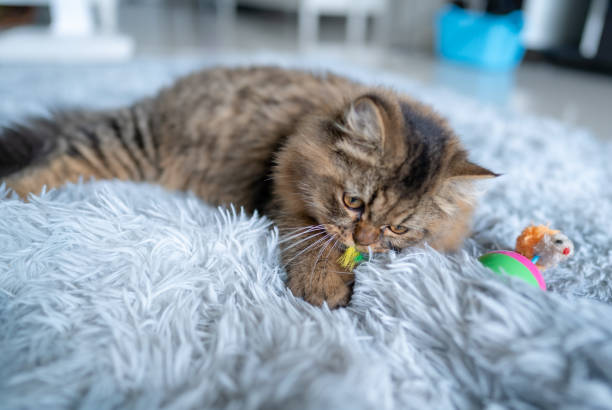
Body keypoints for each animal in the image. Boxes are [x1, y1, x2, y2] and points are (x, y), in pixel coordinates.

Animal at [0, 65, 494, 308]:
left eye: (397, 229)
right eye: (353, 202)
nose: (364, 239)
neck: (306, 125)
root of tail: (158, 99)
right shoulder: (286, 201)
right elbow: (313, 245)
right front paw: (325, 289)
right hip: (128, 144)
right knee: (55, 158)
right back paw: (13, 197)